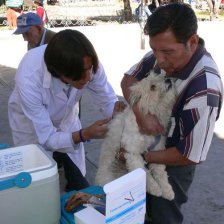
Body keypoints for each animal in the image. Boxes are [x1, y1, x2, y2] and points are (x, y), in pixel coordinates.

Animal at [94, 71, 177, 200]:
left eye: (162, 77)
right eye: (152, 87)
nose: (168, 80)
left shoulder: (157, 151)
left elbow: (161, 173)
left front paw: (167, 190)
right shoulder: (132, 153)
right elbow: (145, 173)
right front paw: (155, 189)